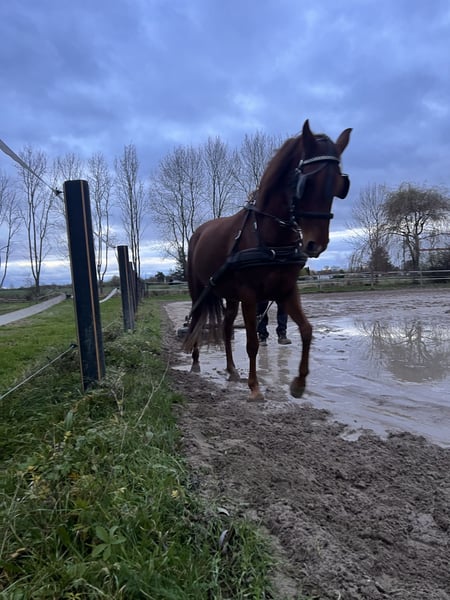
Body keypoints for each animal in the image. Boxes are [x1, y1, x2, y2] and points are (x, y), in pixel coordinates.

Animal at [183, 119, 351, 401]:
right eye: (306, 183)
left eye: (339, 185)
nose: (316, 244)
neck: (270, 237)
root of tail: (199, 232)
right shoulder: (250, 295)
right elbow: (252, 342)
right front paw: (255, 386)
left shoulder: (286, 290)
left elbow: (307, 330)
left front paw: (298, 383)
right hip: (199, 289)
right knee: (196, 320)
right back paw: (195, 362)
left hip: (230, 296)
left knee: (227, 328)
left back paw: (231, 370)